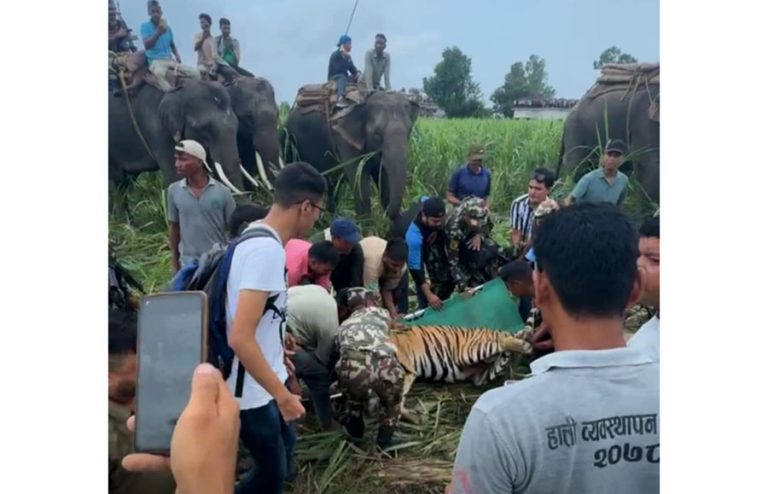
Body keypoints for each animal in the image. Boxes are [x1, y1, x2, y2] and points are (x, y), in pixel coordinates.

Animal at [284, 89, 416, 220]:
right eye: (377, 134)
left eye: (409, 130)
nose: (386, 215)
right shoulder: (344, 140)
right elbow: (360, 182)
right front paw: (365, 223)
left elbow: (383, 177)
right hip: (289, 142)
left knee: (332, 186)